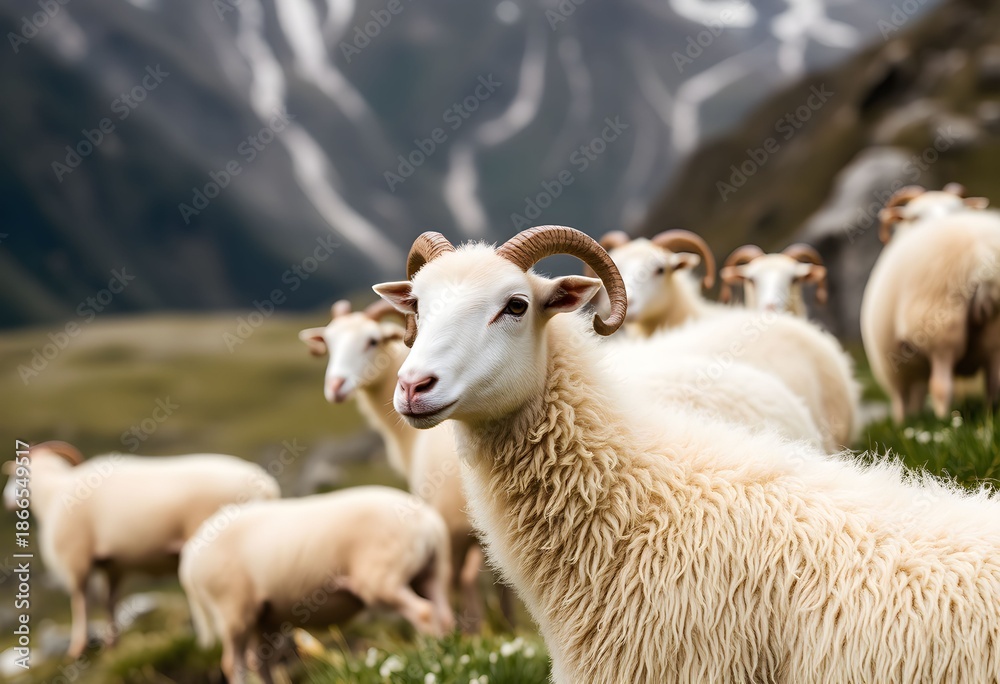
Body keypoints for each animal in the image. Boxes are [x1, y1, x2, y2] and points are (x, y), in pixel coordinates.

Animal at [0, 441, 279, 658]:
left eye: (16, 474)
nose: (6, 500)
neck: (53, 493)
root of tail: (266, 486)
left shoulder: (76, 559)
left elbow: (80, 602)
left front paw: (77, 649)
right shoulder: (114, 565)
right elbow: (109, 601)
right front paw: (113, 646)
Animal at [862, 184, 1000, 421]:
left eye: (958, 207)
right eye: (915, 216)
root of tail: (983, 258)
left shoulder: (889, 362)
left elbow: (900, 399)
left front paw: (901, 422)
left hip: (940, 325)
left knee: (940, 386)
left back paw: (942, 420)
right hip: (994, 327)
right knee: (994, 383)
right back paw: (992, 413)